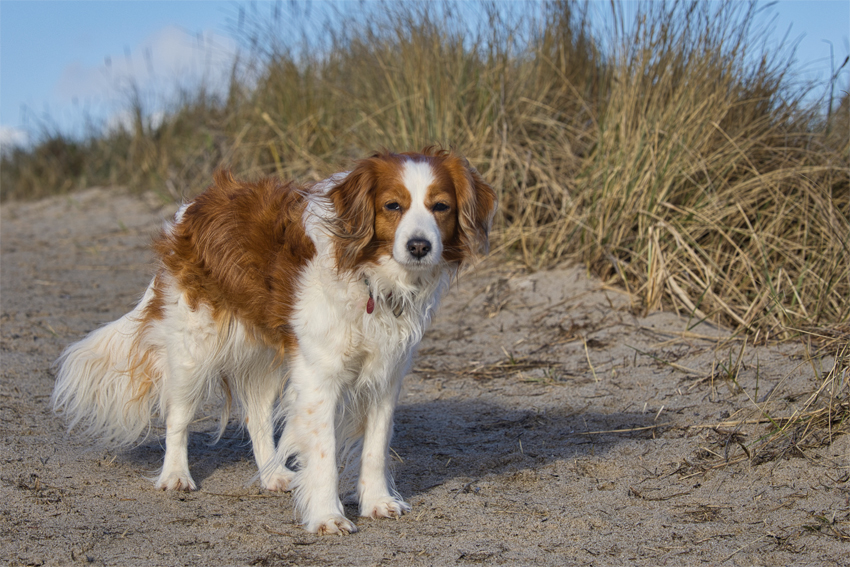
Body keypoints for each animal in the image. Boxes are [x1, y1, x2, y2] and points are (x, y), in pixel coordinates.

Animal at [53, 149, 496, 536]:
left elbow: (375, 446)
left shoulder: (386, 375)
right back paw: (175, 474)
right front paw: (327, 516)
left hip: (266, 353)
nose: (420, 246)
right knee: (177, 414)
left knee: (257, 417)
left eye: (440, 207)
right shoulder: (319, 377)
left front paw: (376, 502)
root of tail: (194, 205)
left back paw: (272, 475)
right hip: (195, 345)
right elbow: (324, 453)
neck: (369, 275)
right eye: (392, 206)